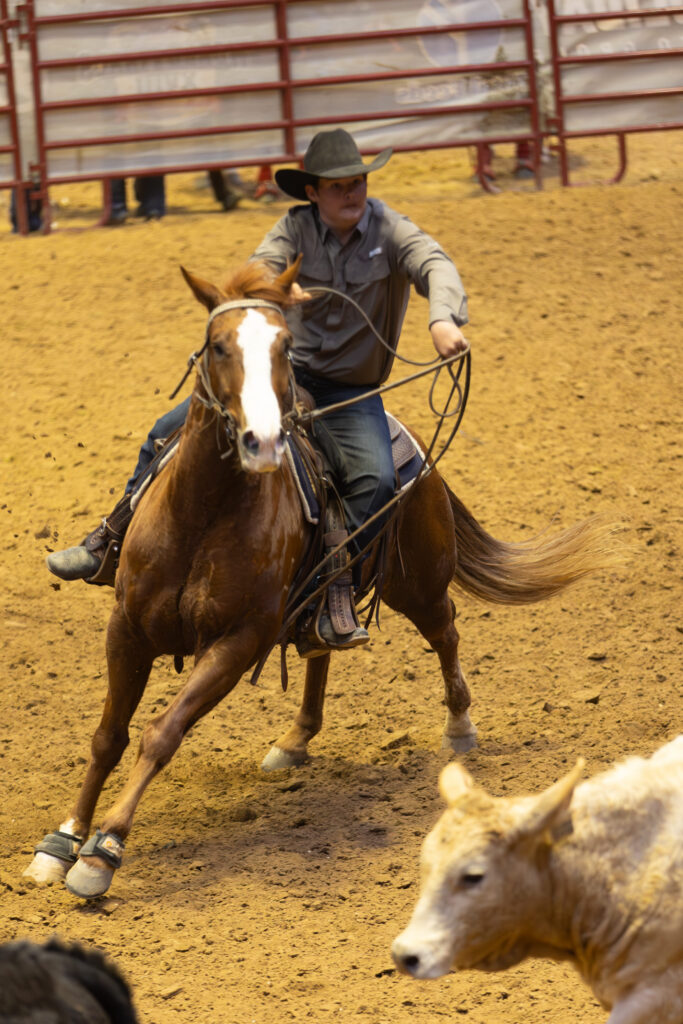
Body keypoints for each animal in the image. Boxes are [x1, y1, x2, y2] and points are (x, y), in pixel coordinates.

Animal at [23, 257, 614, 899]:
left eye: (285, 346)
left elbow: (162, 732)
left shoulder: (236, 642)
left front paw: (103, 851)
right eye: (217, 344)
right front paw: (61, 841)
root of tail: (416, 447)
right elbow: (108, 735)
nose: (261, 441)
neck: (201, 515)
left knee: (446, 631)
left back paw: (459, 727)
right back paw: (295, 738)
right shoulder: (127, 629)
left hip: (418, 582)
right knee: (321, 649)